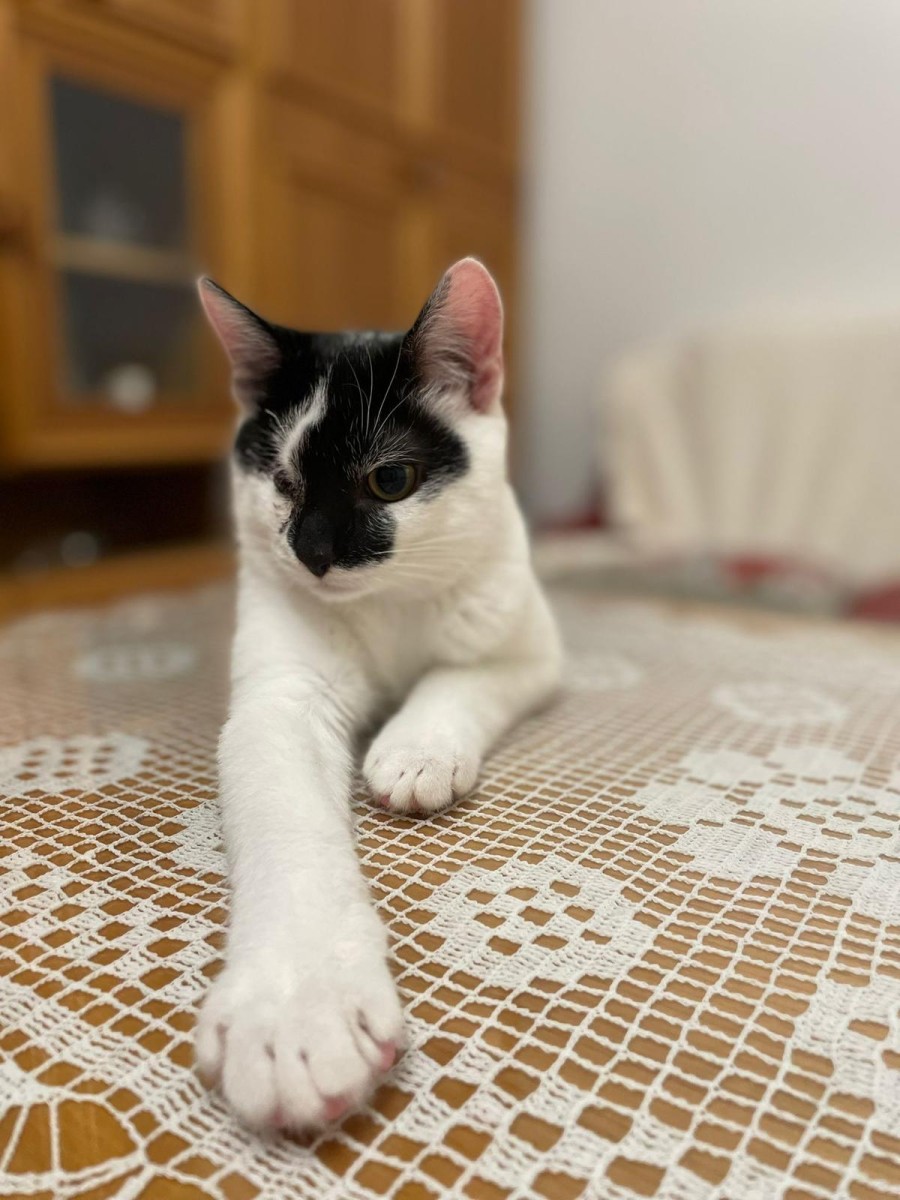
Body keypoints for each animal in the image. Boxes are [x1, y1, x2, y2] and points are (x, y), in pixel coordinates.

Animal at [195, 258, 562, 1131]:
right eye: (282, 481)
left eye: (390, 480)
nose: (314, 554)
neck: (390, 602)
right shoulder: (279, 698)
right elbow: (288, 819)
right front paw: (297, 1006)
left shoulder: (530, 647)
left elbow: (459, 676)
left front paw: (418, 750)